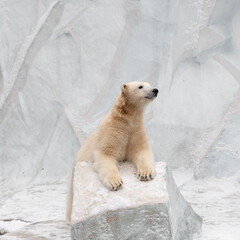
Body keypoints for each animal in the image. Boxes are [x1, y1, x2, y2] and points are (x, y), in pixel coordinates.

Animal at [66, 81, 158, 223]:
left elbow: (141, 151)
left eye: (150, 84)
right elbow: (105, 156)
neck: (125, 120)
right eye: (140, 86)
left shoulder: (135, 131)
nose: (155, 90)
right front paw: (115, 183)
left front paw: (145, 174)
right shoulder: (111, 132)